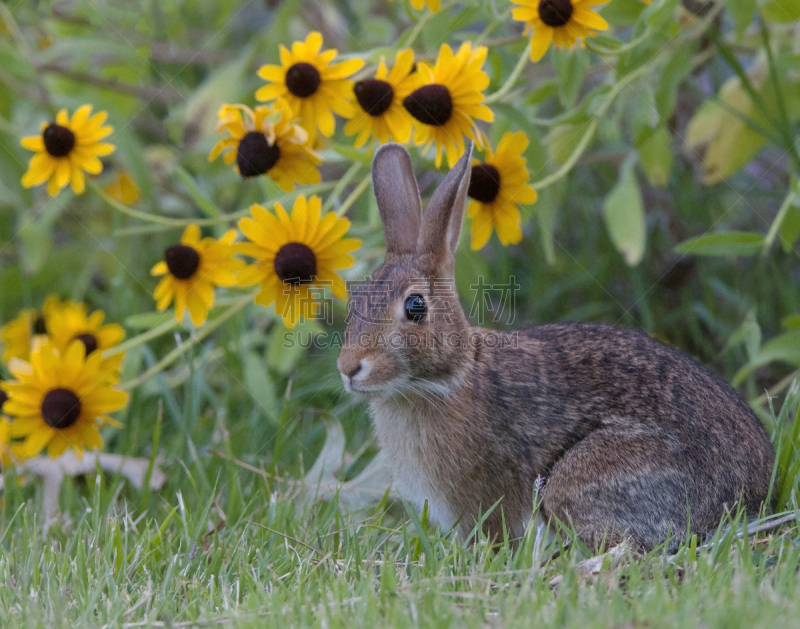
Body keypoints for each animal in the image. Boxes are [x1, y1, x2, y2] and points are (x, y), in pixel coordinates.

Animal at [338, 142, 776, 548]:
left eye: (415, 307)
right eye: (355, 300)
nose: (349, 368)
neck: (448, 379)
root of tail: (756, 489)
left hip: (582, 479)